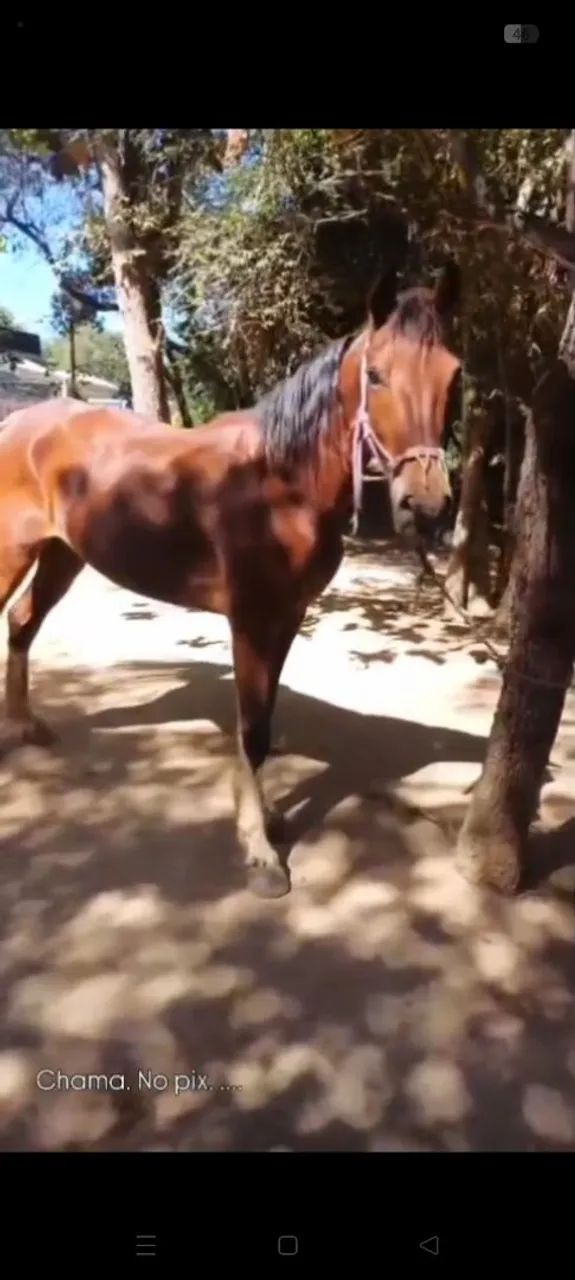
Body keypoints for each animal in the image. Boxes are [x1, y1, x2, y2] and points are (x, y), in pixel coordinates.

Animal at [0, 264, 461, 898]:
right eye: (376, 375)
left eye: (454, 374)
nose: (428, 505)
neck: (280, 480)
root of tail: (19, 421)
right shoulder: (251, 620)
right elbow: (251, 729)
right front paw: (259, 851)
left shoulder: (286, 618)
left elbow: (262, 721)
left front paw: (266, 820)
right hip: (15, 550)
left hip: (62, 555)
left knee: (23, 622)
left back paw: (25, 726)